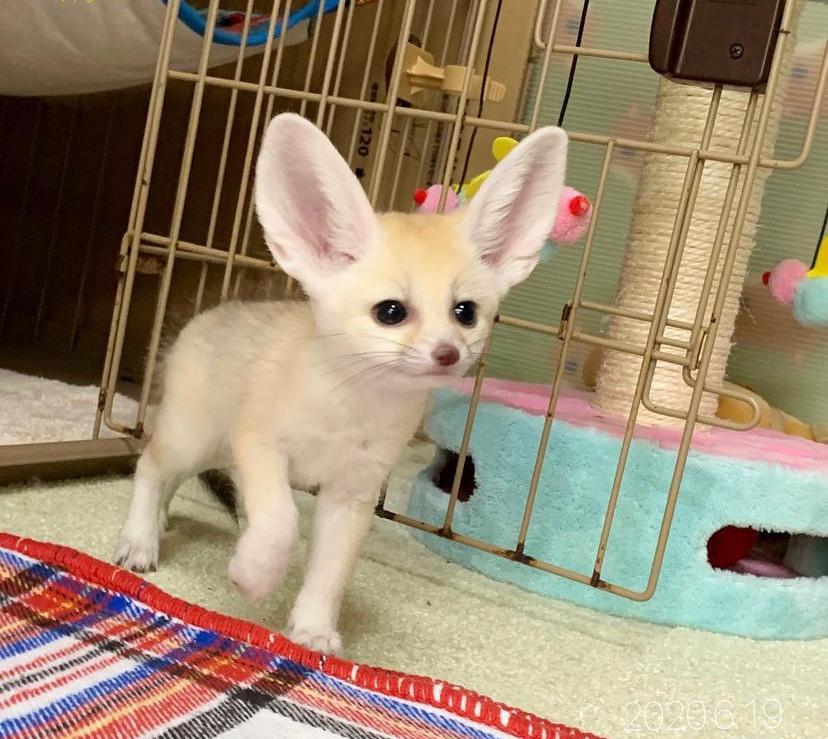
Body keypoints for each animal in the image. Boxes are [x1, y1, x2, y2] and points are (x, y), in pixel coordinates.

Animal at [115, 113, 568, 655]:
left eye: (466, 313)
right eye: (390, 312)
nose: (448, 354)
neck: (353, 404)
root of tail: (203, 315)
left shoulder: (352, 491)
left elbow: (332, 569)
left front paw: (312, 629)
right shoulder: (261, 446)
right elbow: (281, 523)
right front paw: (253, 575)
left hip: (212, 449)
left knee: (171, 475)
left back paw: (158, 522)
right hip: (197, 437)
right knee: (151, 464)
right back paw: (139, 538)